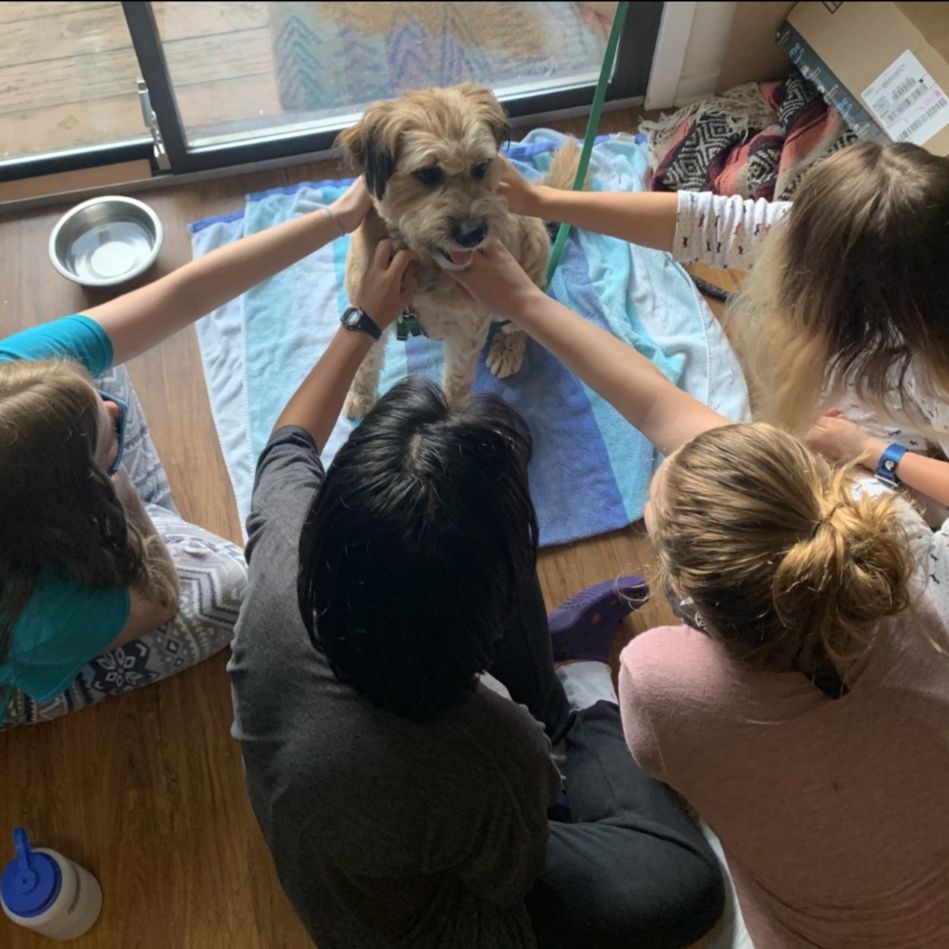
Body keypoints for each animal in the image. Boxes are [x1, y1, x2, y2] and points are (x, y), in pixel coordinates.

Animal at [337, 82, 579, 418]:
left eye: (482, 166)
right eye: (427, 173)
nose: (473, 234)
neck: (424, 263)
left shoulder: (468, 329)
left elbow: (457, 380)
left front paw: (449, 420)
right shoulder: (369, 304)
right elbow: (366, 361)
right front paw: (360, 395)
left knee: (519, 326)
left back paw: (507, 349)